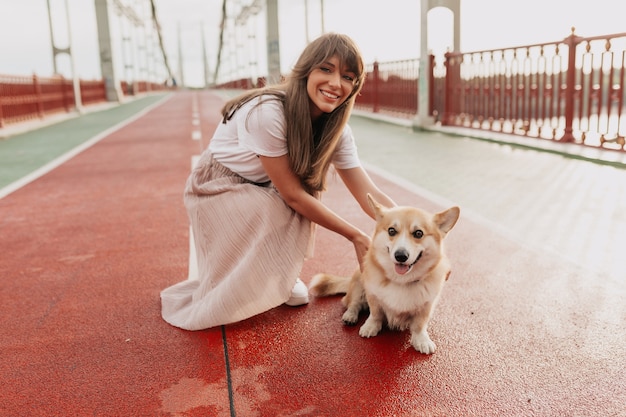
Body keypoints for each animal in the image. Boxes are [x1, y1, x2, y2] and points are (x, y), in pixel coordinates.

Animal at [308, 193, 458, 352]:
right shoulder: (373, 296)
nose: (400, 256)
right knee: (353, 303)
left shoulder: (427, 306)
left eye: (418, 233)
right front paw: (371, 326)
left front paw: (422, 340)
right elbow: (375, 314)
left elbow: (419, 325)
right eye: (391, 230)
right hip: (359, 282)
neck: (400, 281)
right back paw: (350, 316)